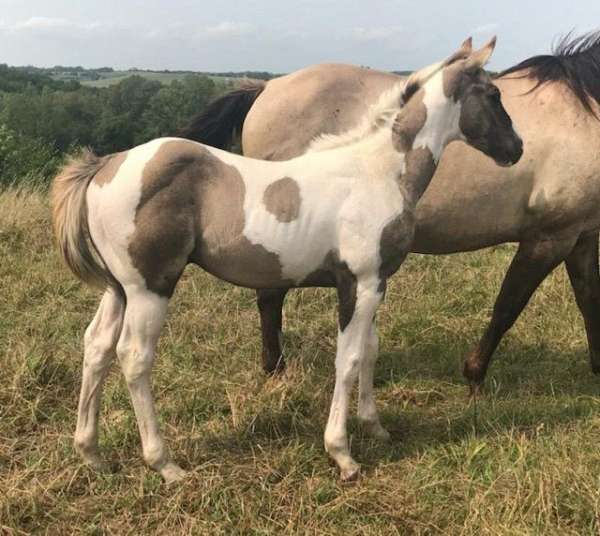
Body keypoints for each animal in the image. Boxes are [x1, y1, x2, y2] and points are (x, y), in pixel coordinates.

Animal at [51, 37, 520, 482]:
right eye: (494, 93)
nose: (516, 148)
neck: (376, 171)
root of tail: (106, 164)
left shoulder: (377, 283)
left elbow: (370, 350)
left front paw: (375, 427)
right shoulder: (360, 282)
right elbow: (349, 358)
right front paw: (342, 454)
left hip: (118, 288)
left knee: (96, 346)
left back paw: (92, 454)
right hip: (150, 287)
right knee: (134, 357)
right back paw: (164, 464)